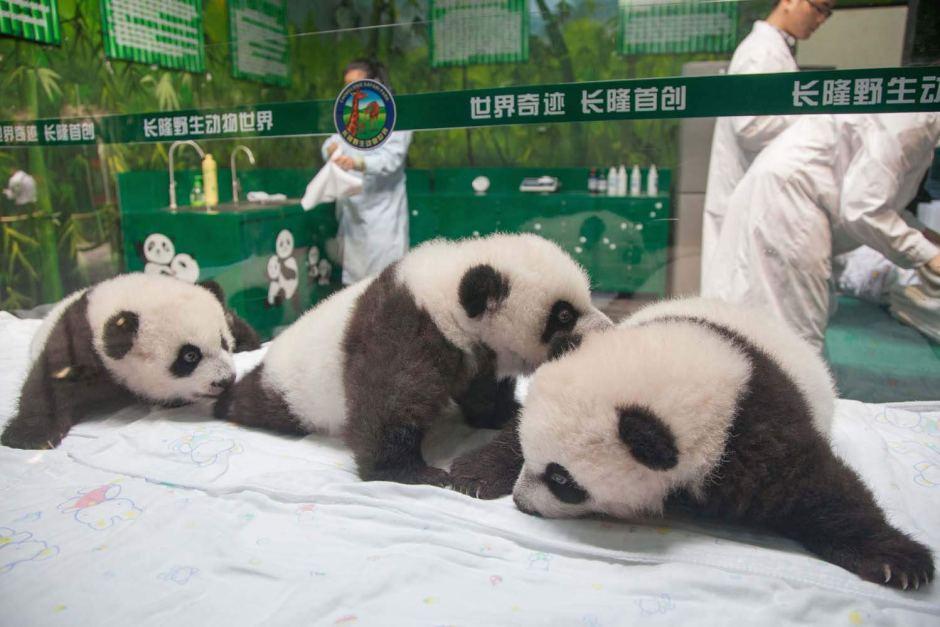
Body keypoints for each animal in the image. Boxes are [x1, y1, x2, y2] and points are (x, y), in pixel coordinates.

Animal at [1, 273, 257, 450]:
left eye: (224, 342)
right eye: (189, 356)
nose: (225, 380)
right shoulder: (77, 340)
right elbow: (49, 384)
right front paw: (29, 437)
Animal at [214, 233, 612, 488]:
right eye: (563, 315)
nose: (605, 332)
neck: (445, 297)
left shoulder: (474, 350)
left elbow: (483, 390)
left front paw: (502, 414)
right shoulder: (402, 326)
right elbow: (391, 400)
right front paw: (409, 472)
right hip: (293, 388)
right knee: (261, 403)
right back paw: (227, 402)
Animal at [510, 297, 934, 590]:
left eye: (562, 480)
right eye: (528, 454)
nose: (520, 502)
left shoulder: (751, 429)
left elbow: (820, 488)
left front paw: (899, 562)